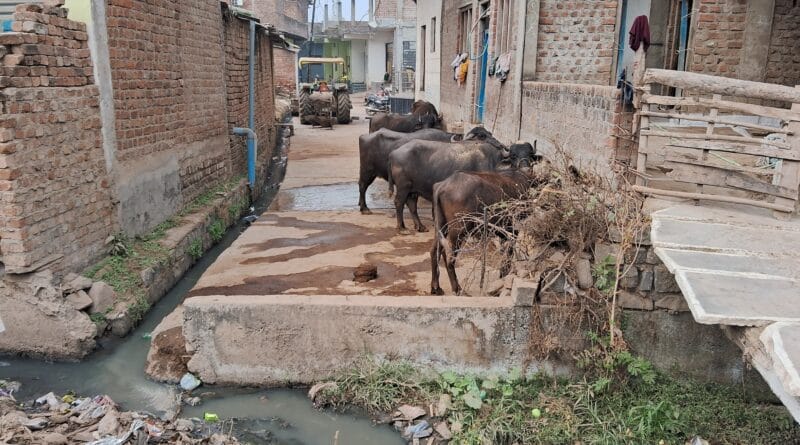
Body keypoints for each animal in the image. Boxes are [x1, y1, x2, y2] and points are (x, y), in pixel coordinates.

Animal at [386, 127, 536, 232]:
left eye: (531, 155)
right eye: (513, 155)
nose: (526, 169)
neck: (493, 161)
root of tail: (394, 153)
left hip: (413, 189)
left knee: (411, 204)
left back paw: (420, 226)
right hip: (403, 186)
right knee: (399, 202)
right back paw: (401, 227)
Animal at [430, 166, 544, 295]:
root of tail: (442, 186)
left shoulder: (502, 230)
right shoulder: (512, 230)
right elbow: (509, 251)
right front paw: (504, 272)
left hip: (441, 228)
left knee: (434, 251)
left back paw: (436, 288)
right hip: (458, 231)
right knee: (449, 257)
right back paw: (457, 289)